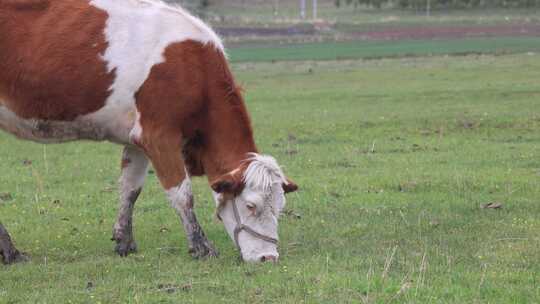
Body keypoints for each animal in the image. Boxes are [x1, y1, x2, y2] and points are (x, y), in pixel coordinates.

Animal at [0, 0, 300, 264]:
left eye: (280, 207)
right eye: (250, 205)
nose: (268, 258)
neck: (191, 66)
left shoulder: (137, 139)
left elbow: (130, 188)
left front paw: (124, 242)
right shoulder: (159, 136)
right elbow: (182, 194)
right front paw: (202, 247)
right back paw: (11, 252)